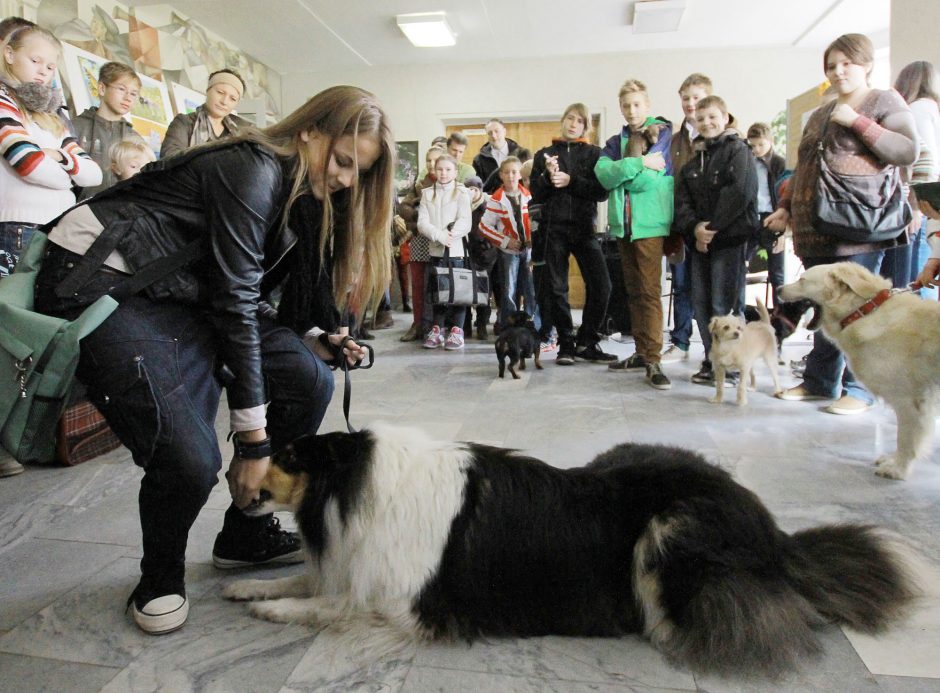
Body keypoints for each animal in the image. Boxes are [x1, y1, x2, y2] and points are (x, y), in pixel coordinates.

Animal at [780, 262, 940, 478]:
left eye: (802, 279)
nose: (778, 290)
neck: (863, 311)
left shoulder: (909, 399)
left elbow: (906, 438)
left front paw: (897, 468)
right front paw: (893, 460)